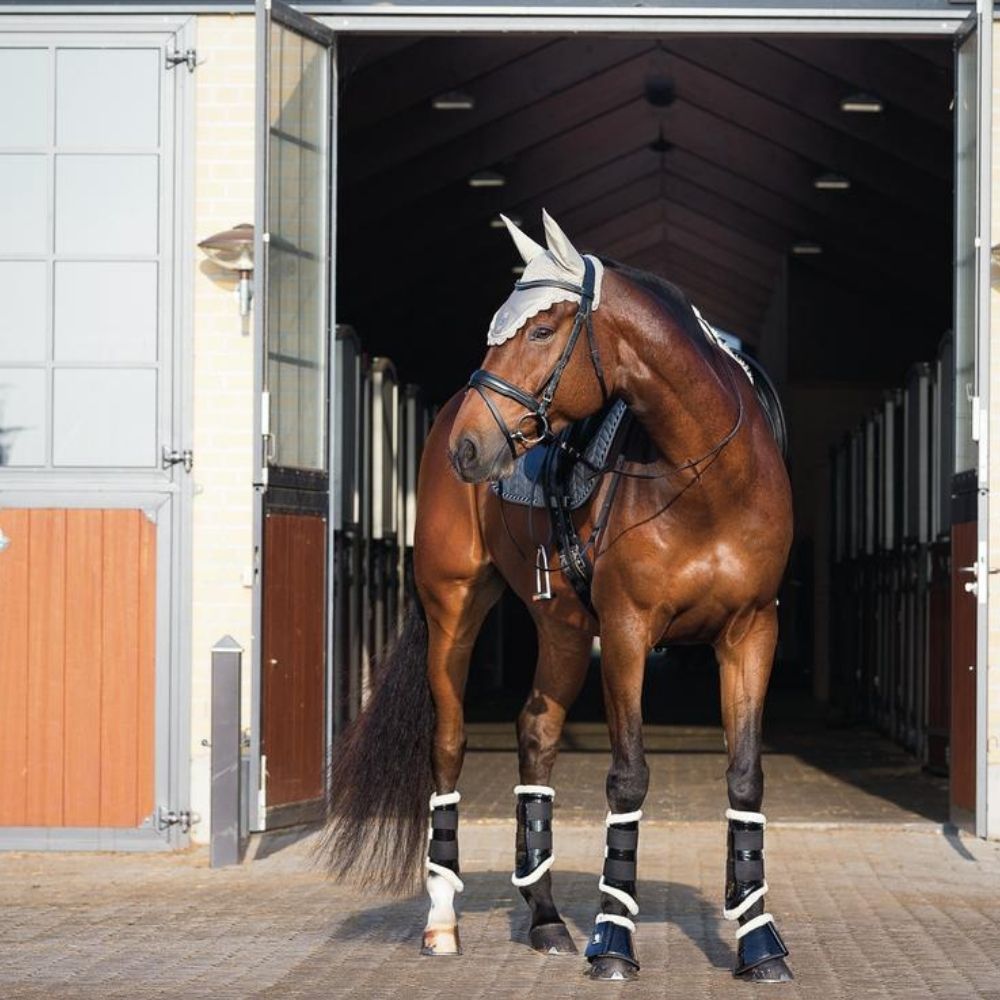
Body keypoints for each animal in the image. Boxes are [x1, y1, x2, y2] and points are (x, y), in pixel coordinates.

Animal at [324, 213, 792, 984]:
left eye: (542, 330)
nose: (468, 447)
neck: (705, 477)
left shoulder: (750, 634)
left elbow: (746, 779)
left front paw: (759, 941)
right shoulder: (629, 635)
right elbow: (628, 779)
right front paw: (613, 941)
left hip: (566, 632)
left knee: (537, 735)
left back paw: (544, 919)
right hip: (457, 611)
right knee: (448, 745)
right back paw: (443, 921)